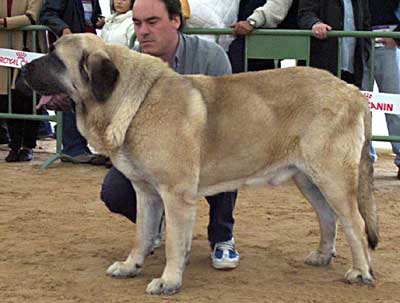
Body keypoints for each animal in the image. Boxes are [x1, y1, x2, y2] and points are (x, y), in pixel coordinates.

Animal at [24, 33, 378, 296]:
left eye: (55, 59)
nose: (24, 70)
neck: (133, 101)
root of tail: (354, 92)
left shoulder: (175, 195)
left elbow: (172, 241)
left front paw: (169, 281)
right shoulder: (146, 194)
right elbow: (142, 234)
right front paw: (131, 265)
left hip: (332, 178)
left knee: (355, 224)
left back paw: (361, 272)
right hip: (308, 179)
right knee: (328, 217)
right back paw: (322, 256)